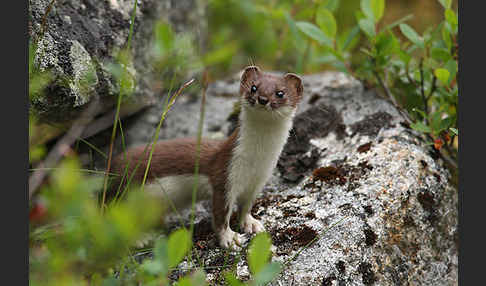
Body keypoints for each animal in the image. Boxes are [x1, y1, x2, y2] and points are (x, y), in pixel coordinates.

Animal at [110, 66, 304, 249]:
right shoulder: (224, 175)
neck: (257, 160)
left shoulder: (259, 181)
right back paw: (139, 238)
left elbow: (246, 206)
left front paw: (251, 224)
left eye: (280, 92)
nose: (263, 99)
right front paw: (230, 238)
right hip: (125, 194)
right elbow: (221, 214)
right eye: (253, 87)